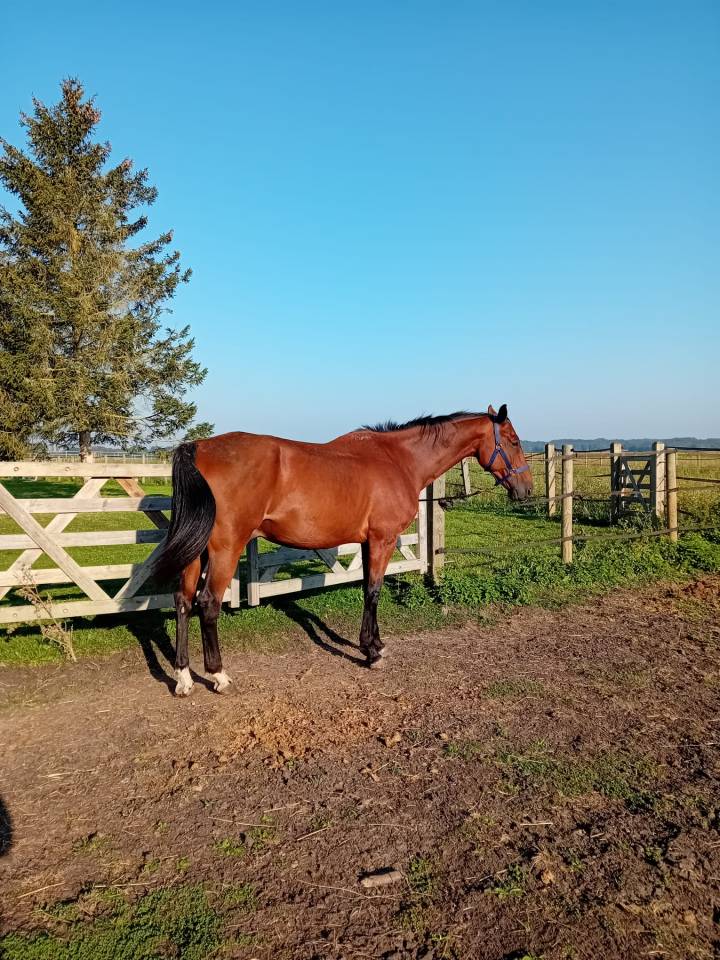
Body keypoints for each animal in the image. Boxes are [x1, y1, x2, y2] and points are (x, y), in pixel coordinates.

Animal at [154, 404, 532, 696]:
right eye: (513, 441)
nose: (526, 489)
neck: (399, 460)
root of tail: (198, 447)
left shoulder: (367, 542)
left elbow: (368, 589)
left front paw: (374, 644)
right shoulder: (382, 540)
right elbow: (374, 591)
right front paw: (371, 653)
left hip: (198, 552)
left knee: (183, 601)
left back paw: (183, 677)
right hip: (225, 550)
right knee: (208, 604)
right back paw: (218, 675)